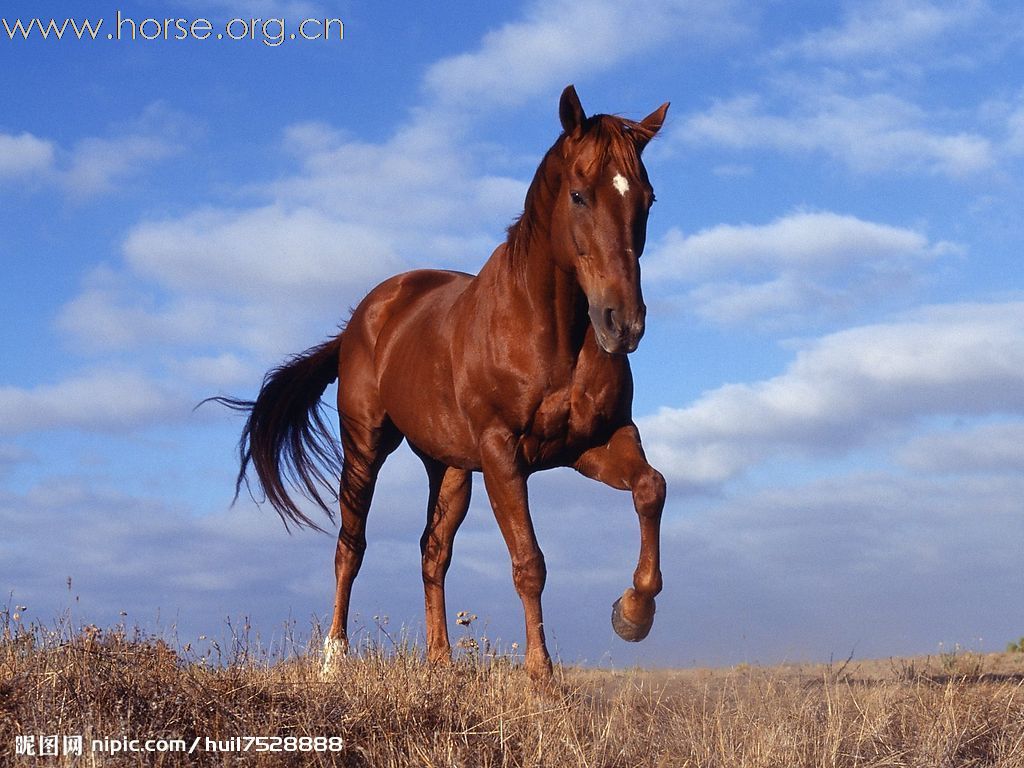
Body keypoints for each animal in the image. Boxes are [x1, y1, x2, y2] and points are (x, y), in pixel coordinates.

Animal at [211, 83, 667, 679]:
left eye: (648, 199)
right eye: (578, 195)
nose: (623, 323)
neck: (550, 333)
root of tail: (362, 319)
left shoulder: (594, 443)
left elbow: (651, 488)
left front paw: (633, 613)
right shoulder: (502, 453)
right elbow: (529, 561)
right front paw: (541, 676)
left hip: (448, 467)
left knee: (433, 552)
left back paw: (440, 662)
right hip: (366, 446)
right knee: (350, 546)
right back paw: (334, 659)